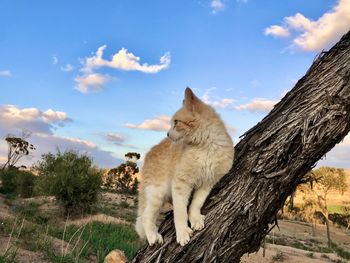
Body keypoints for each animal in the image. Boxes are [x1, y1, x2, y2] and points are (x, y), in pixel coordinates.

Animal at [135, 88, 234, 248]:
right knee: (145, 216)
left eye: (176, 122)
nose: (167, 134)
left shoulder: (208, 183)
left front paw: (195, 219)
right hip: (157, 192)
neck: (205, 146)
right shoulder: (181, 183)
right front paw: (182, 233)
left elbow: (196, 204)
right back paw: (152, 237)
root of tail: (150, 152)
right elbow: (180, 213)